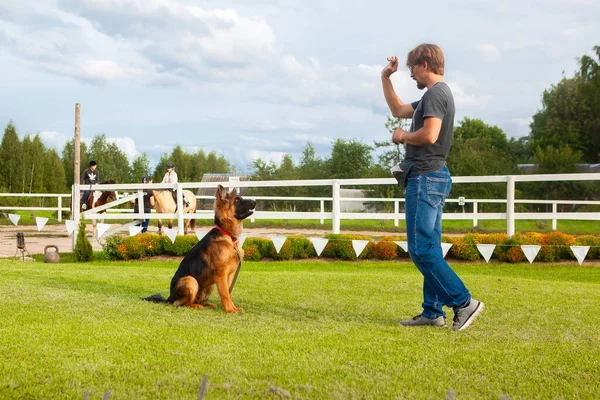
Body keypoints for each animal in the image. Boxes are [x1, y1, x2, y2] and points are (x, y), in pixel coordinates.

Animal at [147, 184, 258, 312]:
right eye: (237, 201)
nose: (255, 201)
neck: (228, 235)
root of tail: (169, 298)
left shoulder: (228, 275)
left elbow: (228, 293)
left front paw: (233, 308)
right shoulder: (221, 273)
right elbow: (225, 293)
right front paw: (230, 310)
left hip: (210, 286)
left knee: (195, 300)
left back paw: (207, 305)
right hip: (191, 280)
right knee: (183, 303)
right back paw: (197, 306)